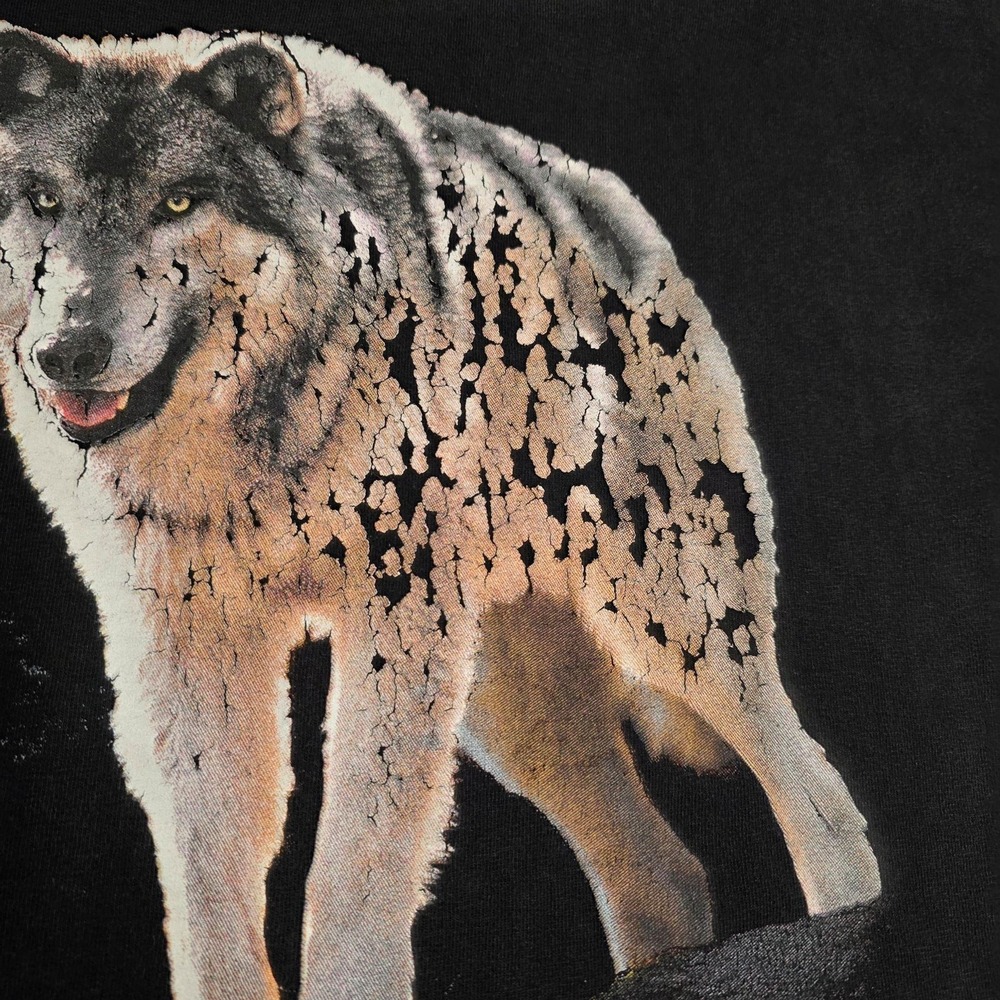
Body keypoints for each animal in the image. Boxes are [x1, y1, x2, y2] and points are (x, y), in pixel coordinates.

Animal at [0, 23, 881, 1000]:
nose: (66, 351)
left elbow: (354, 863)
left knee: (815, 792)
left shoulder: (394, 616)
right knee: (666, 872)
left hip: (674, 628)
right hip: (506, 707)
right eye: (44, 200)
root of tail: (608, 203)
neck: (246, 462)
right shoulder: (184, 641)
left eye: (178, 200)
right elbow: (208, 879)